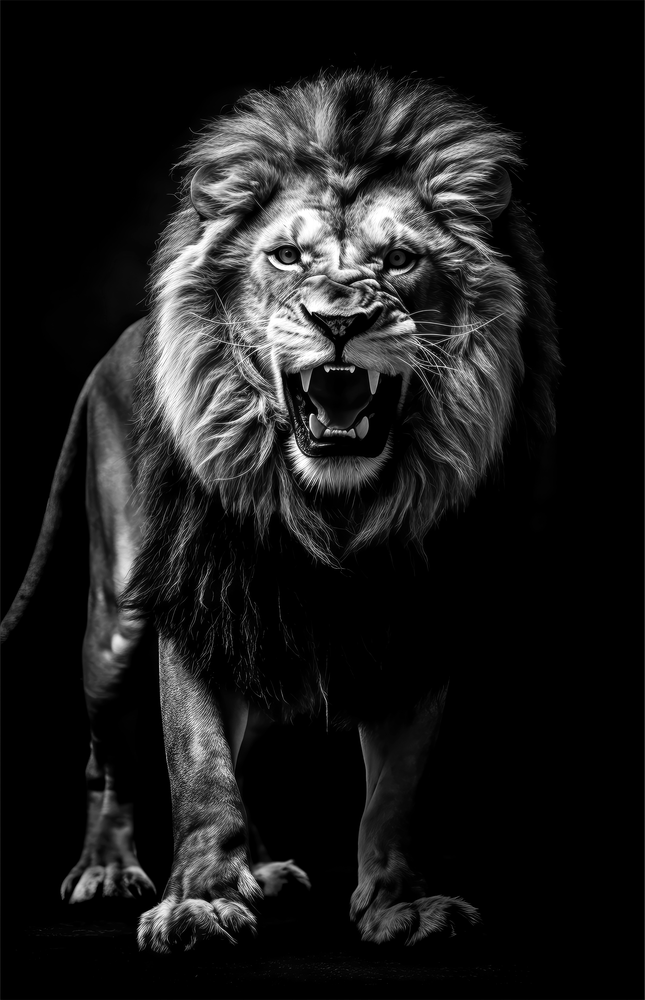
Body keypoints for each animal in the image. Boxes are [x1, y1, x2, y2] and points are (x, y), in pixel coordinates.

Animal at [1, 70, 559, 953]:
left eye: (400, 260)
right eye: (286, 256)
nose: (340, 321)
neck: (331, 508)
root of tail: (118, 343)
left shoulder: (420, 618)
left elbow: (396, 789)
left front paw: (400, 906)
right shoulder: (191, 594)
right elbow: (199, 764)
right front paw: (195, 903)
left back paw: (258, 870)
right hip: (116, 620)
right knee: (108, 759)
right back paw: (109, 868)